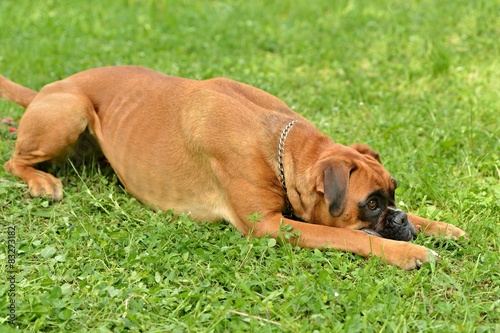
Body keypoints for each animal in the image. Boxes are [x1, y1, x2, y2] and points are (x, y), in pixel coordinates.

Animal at [1, 65, 466, 270]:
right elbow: (352, 238)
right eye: (370, 204)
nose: (398, 219)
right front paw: (409, 252)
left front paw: (438, 227)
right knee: (13, 159)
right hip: (71, 110)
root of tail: (47, 89)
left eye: (393, 192)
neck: (280, 145)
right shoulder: (271, 226)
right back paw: (41, 181)